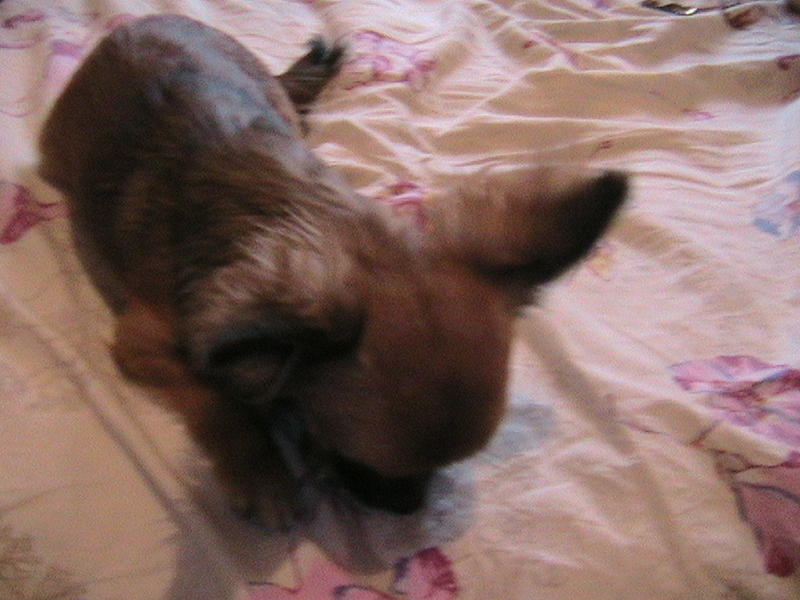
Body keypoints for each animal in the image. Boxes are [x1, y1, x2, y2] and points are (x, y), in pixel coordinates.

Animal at [39, 14, 628, 527]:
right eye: (363, 460)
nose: (408, 510)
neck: (300, 210)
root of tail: (146, 19)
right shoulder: (143, 340)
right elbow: (217, 402)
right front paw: (263, 474)